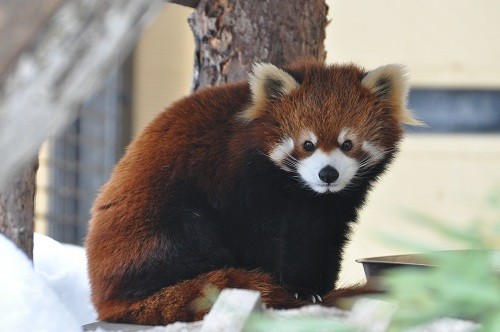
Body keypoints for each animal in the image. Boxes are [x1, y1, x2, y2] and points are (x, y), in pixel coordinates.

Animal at [86, 59, 422, 324]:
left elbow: (318, 241)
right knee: (190, 235)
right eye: (307, 145)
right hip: (155, 227)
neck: (300, 191)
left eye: (348, 144)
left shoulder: (330, 207)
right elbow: (255, 237)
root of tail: (106, 300)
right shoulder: (242, 182)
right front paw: (286, 290)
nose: (328, 174)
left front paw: (311, 289)